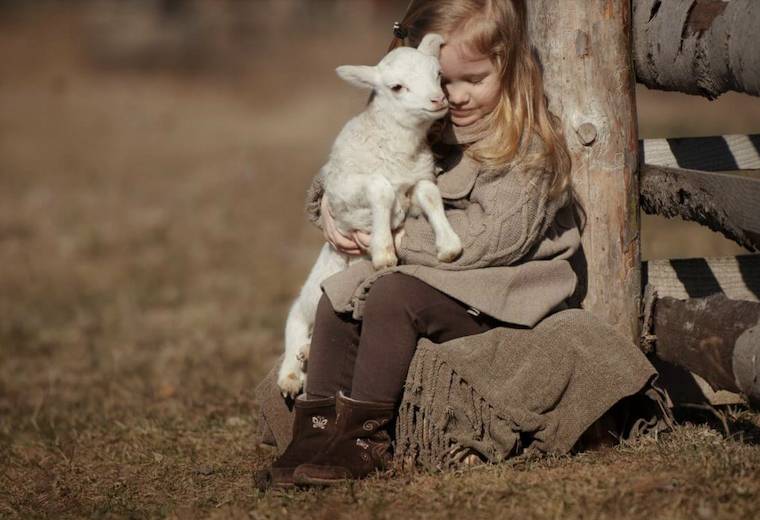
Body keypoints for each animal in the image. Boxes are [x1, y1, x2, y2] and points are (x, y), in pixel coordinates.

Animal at [277, 33, 462, 398]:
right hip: (309, 298)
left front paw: (449, 245)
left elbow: (430, 195)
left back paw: (305, 354)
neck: (398, 150)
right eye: (396, 87)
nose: (438, 100)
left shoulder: (419, 179)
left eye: (438, 75)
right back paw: (291, 373)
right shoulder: (343, 192)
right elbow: (381, 189)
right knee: (294, 323)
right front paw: (383, 252)